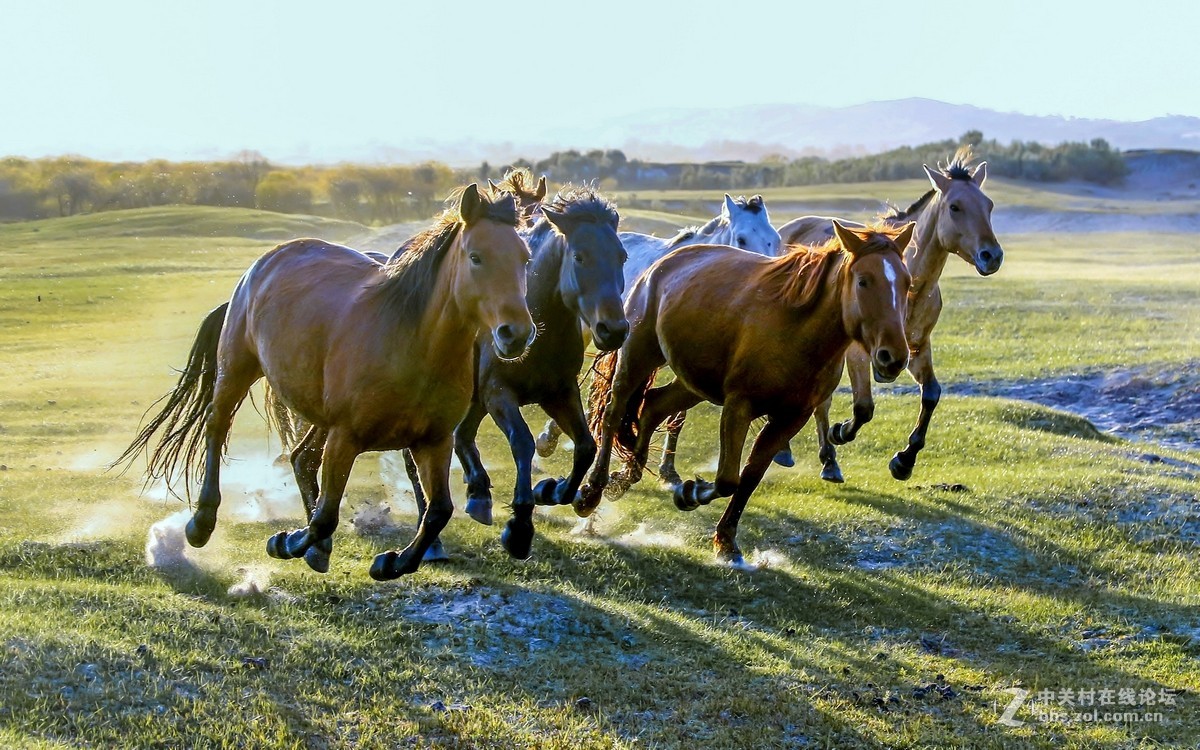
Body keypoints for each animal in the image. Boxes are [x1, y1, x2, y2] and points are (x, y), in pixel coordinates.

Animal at [117, 182, 535, 578]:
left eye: (525, 258)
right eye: (476, 257)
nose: (516, 333)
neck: (409, 343)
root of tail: (263, 264)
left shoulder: (433, 440)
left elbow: (438, 512)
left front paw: (390, 564)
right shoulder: (346, 436)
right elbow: (325, 516)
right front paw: (286, 542)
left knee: (301, 458)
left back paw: (317, 550)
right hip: (236, 369)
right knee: (217, 428)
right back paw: (201, 524)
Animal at [400, 186, 628, 561]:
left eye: (622, 257)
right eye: (579, 257)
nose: (614, 330)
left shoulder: (559, 393)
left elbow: (585, 446)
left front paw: (551, 490)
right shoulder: (498, 393)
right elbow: (522, 442)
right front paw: (520, 527)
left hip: (474, 400)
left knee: (462, 436)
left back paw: (479, 494)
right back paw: (434, 540)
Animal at [576, 219, 912, 564]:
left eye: (907, 283)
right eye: (863, 281)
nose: (894, 357)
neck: (796, 329)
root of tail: (664, 261)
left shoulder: (791, 418)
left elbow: (749, 477)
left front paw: (725, 540)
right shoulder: (739, 405)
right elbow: (727, 478)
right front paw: (692, 493)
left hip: (693, 383)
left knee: (654, 406)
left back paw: (625, 478)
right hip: (638, 355)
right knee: (614, 412)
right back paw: (592, 492)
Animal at [777, 149, 1003, 482]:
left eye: (988, 205)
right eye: (955, 207)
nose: (992, 256)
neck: (908, 290)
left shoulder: (916, 348)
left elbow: (931, 394)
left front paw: (904, 461)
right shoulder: (857, 352)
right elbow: (863, 407)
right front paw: (840, 432)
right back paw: (808, 455)